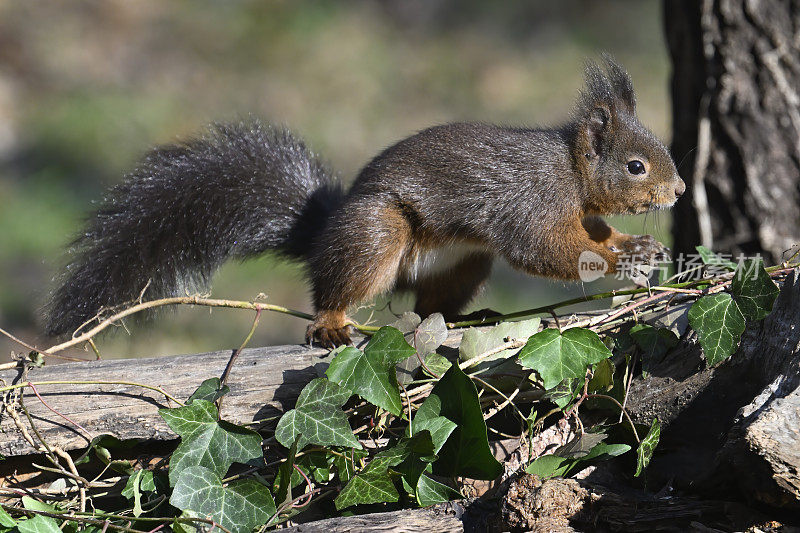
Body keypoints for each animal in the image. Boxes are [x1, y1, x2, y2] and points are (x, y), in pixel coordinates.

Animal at [42, 58, 680, 348]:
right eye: (636, 165)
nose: (676, 192)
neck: (569, 172)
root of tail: (324, 232)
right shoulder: (531, 204)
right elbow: (551, 250)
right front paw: (623, 257)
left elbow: (594, 233)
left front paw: (637, 245)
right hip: (377, 234)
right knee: (336, 289)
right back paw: (331, 323)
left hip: (463, 263)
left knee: (429, 307)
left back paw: (465, 319)